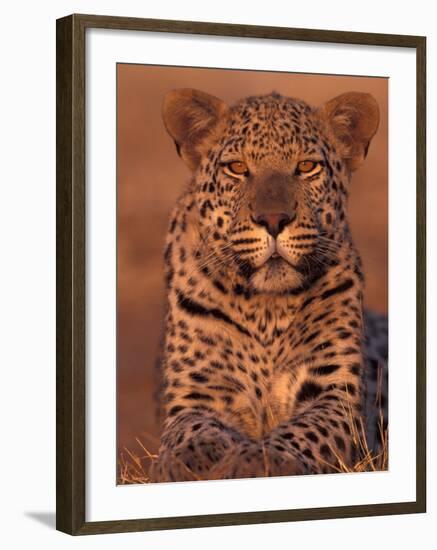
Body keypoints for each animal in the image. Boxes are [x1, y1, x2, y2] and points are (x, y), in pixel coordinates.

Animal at [148, 87, 386, 484]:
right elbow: (191, 428)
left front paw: (260, 458)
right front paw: (189, 458)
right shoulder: (198, 392)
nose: (274, 220)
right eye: (237, 168)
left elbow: (305, 430)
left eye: (307, 167)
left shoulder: (334, 394)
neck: (265, 309)